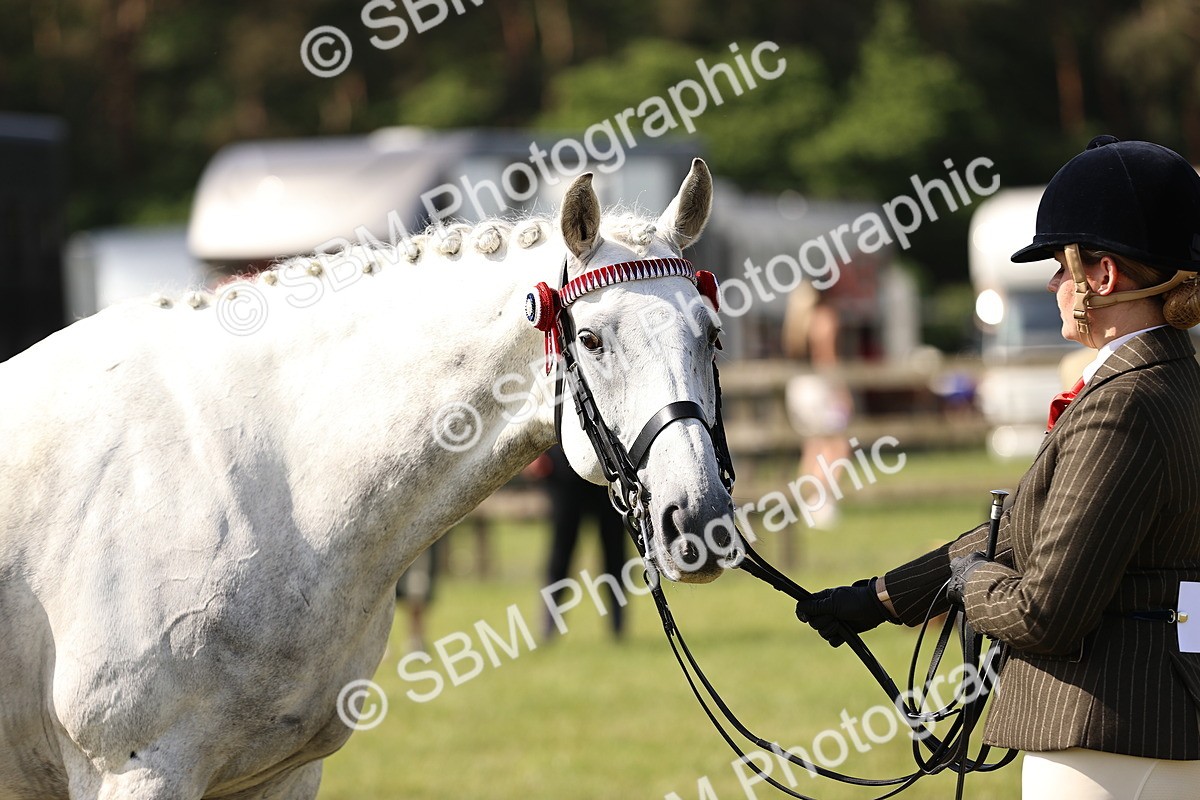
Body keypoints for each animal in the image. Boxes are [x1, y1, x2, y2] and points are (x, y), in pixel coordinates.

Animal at [0, 158, 737, 799]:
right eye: (591, 341)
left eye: (711, 335)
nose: (698, 519)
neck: (261, 480)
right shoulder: (138, 771)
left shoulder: (282, 775)